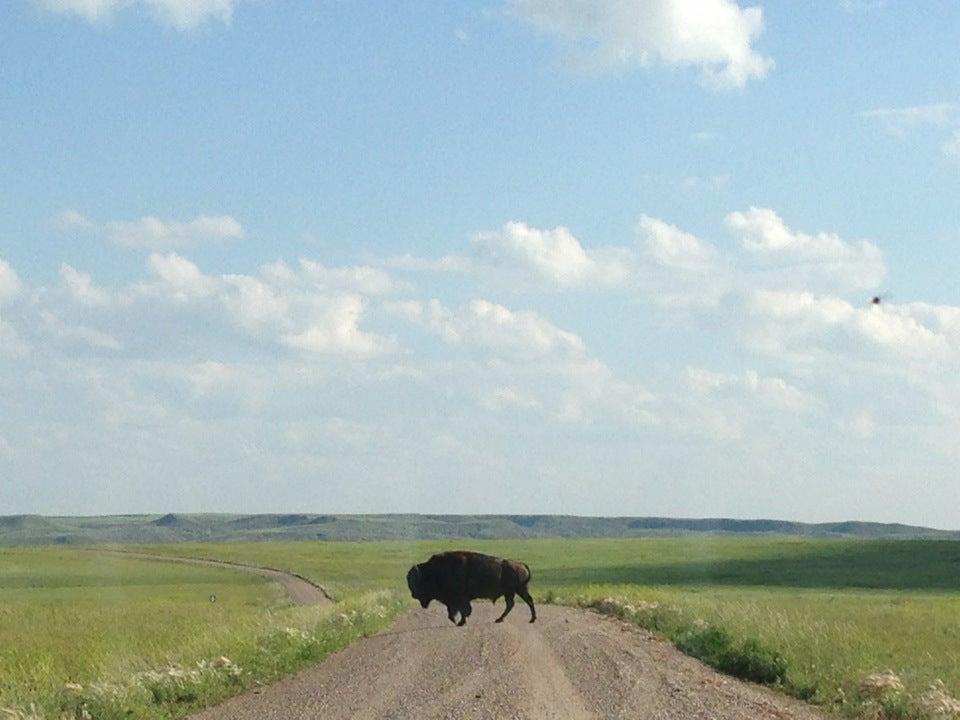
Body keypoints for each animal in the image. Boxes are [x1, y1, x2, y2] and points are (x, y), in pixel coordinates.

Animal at [404, 552, 536, 624]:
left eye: (417, 583)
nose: (413, 595)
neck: (433, 571)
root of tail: (521, 565)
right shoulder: (454, 601)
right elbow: (454, 612)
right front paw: (458, 621)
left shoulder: (459, 599)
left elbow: (462, 610)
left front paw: (460, 622)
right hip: (513, 592)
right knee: (513, 604)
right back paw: (500, 619)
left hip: (518, 590)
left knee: (527, 601)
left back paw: (531, 619)